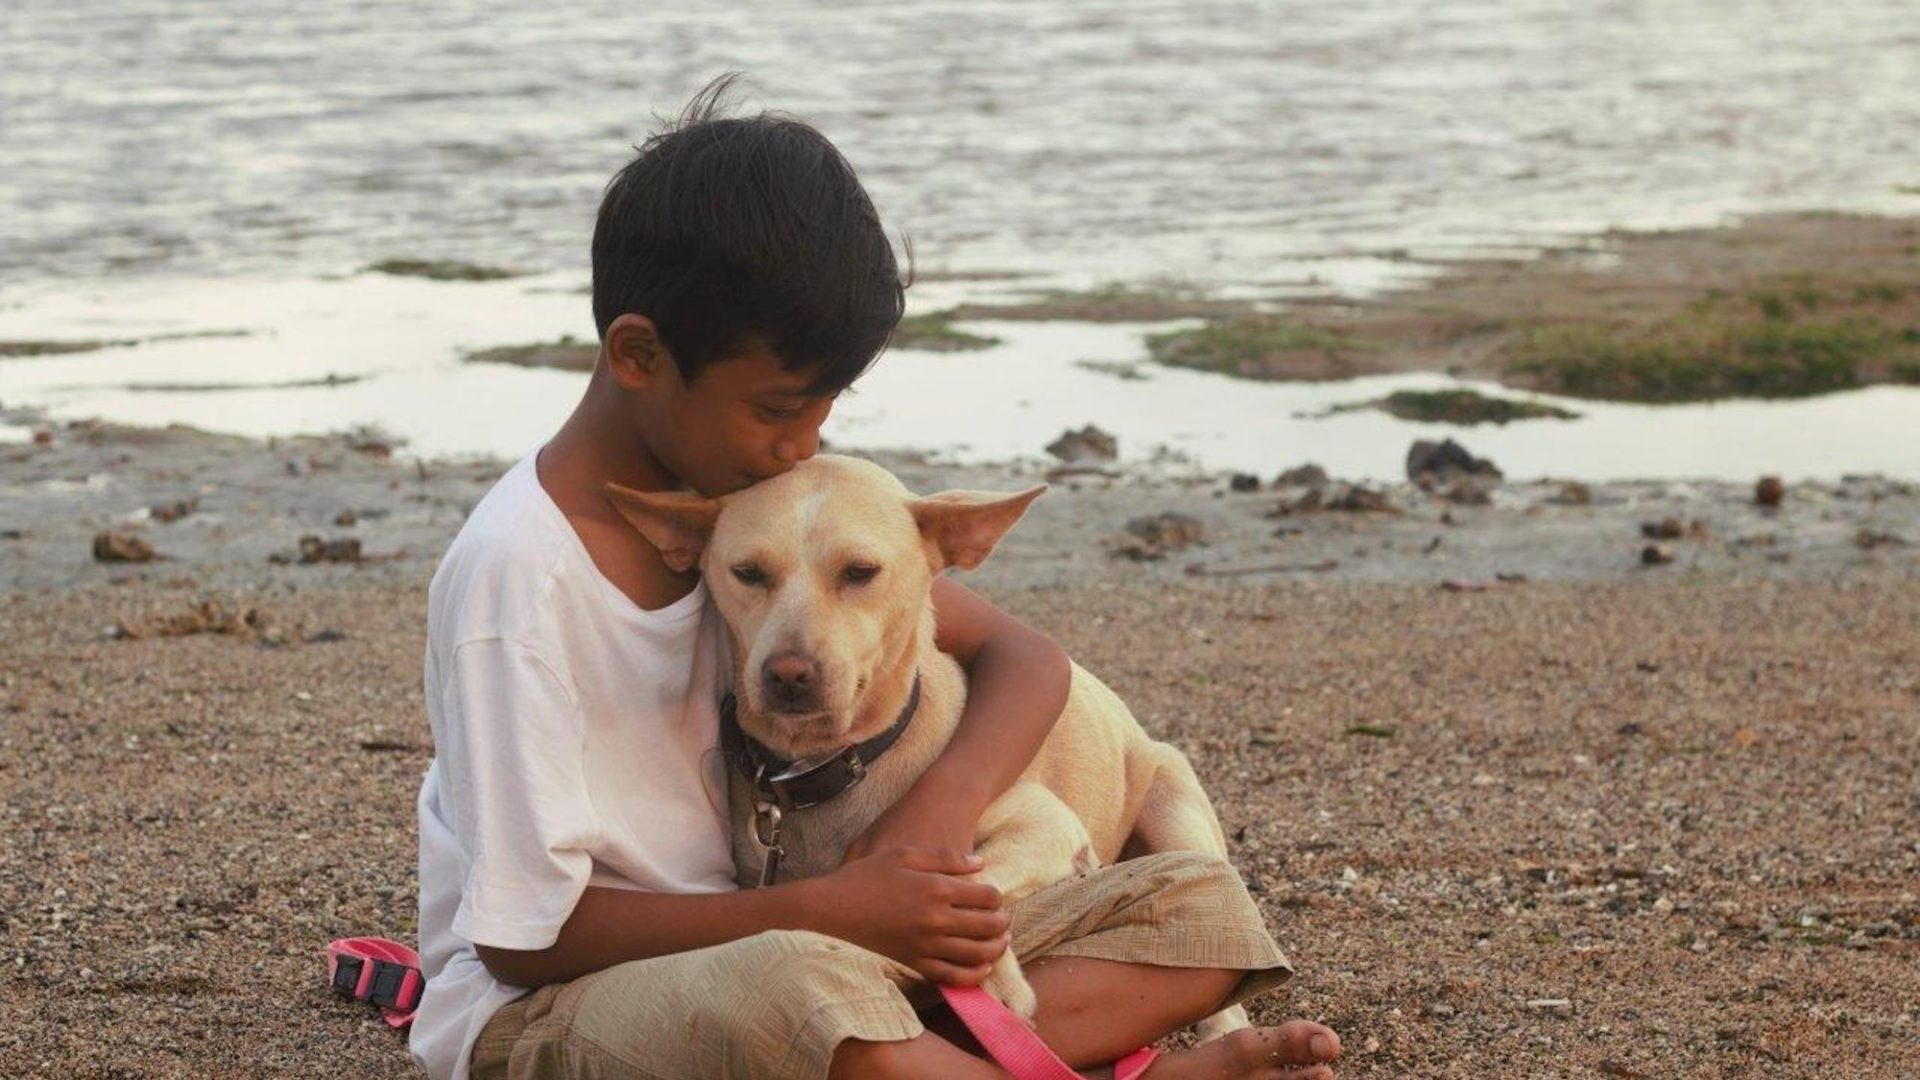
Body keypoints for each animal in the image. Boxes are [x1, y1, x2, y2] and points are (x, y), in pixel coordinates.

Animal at [606, 453, 1251, 1037]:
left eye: (860, 572)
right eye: (747, 572)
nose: (787, 674)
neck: (831, 765)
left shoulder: (1044, 823)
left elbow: (977, 880)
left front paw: (995, 978)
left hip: (1175, 808)